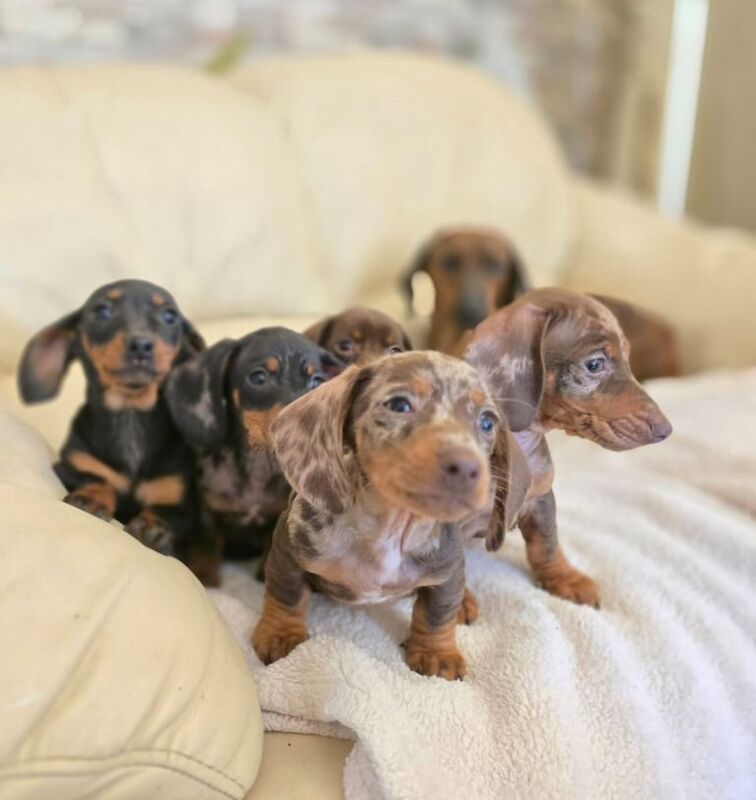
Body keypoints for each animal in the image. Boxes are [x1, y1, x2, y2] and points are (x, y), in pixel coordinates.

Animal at [17, 282, 205, 556]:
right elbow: (96, 478)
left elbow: (170, 514)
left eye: (170, 316)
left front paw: (153, 527)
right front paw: (91, 498)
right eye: (102, 311)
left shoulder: (181, 501)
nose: (141, 345)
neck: (130, 416)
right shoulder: (69, 467)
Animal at [167, 326, 344, 588]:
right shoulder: (207, 512)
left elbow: (270, 543)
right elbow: (207, 543)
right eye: (258, 378)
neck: (259, 465)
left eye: (318, 382)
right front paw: (205, 577)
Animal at [251, 352, 528, 680]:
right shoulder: (288, 551)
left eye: (487, 422)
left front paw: (437, 653)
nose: (467, 468)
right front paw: (281, 634)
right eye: (398, 405)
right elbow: (286, 594)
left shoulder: (446, 571)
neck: (390, 530)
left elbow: (437, 613)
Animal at [466, 288, 672, 608]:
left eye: (628, 358)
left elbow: (547, 545)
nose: (666, 430)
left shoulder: (542, 499)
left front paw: (564, 578)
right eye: (594, 364)